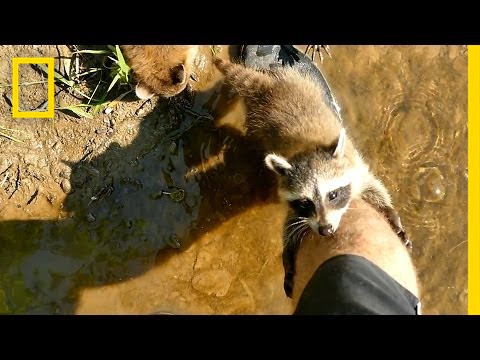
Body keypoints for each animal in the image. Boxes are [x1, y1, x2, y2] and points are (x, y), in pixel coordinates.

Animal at [215, 57, 412, 298]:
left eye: (333, 194)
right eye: (305, 202)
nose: (325, 230)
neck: (308, 150)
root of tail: (270, 87)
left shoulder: (355, 168)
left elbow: (373, 187)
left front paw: (390, 212)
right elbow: (291, 225)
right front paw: (288, 254)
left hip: (304, 83)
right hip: (259, 121)